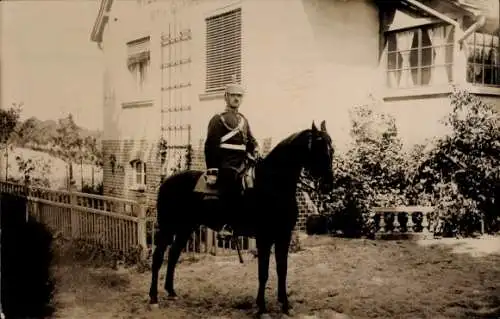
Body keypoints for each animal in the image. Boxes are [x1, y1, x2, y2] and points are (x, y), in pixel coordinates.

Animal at [149, 120, 336, 318]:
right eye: (318, 148)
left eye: (331, 149)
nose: (328, 184)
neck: (273, 184)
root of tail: (166, 182)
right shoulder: (264, 238)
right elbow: (263, 272)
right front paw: (261, 308)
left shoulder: (283, 236)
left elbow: (282, 270)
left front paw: (285, 305)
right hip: (168, 228)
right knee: (158, 257)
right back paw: (153, 298)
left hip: (185, 228)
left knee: (173, 254)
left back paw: (171, 291)